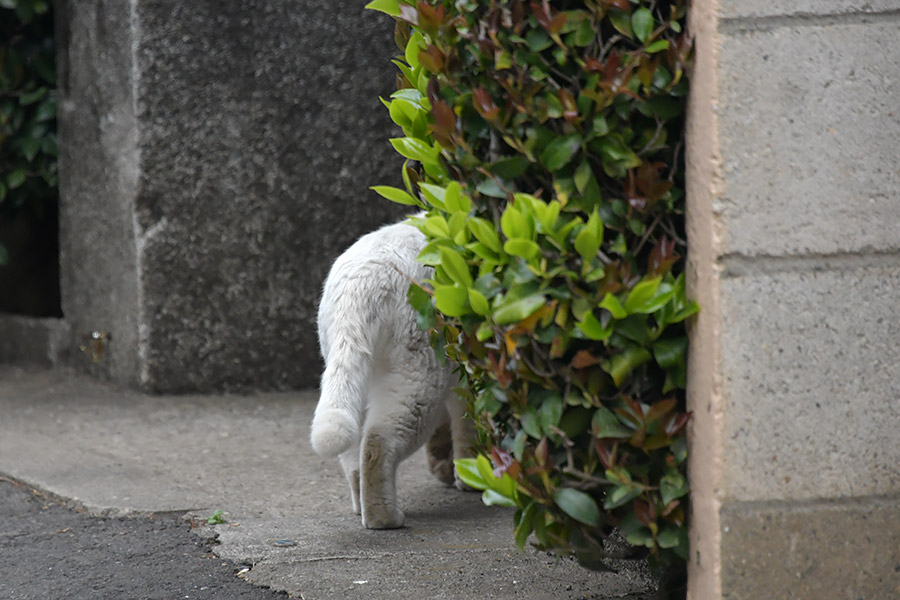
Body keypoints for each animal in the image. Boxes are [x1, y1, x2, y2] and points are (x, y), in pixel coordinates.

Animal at [310, 218, 474, 528]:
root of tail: (361, 278)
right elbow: (470, 430)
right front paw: (475, 478)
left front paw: (446, 467)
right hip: (420, 379)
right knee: (377, 444)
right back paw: (384, 518)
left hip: (355, 380)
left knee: (354, 456)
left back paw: (362, 507)